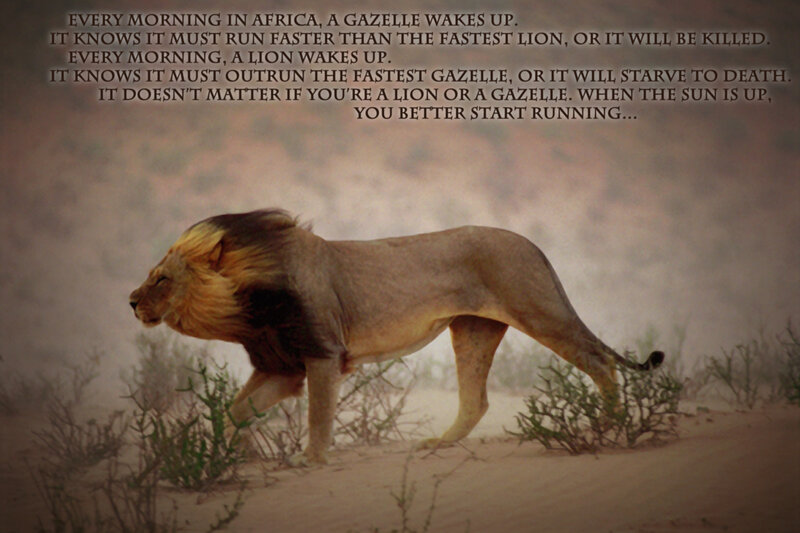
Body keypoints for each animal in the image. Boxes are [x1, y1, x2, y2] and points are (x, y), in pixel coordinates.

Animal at [129, 209, 663, 465]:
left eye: (162, 280)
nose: (131, 301)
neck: (246, 305)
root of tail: (532, 244)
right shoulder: (281, 368)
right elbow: (236, 411)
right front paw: (232, 456)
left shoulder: (322, 355)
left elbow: (318, 417)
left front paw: (309, 461)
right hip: (473, 329)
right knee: (477, 401)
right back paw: (439, 444)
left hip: (540, 311)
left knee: (600, 361)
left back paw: (607, 426)